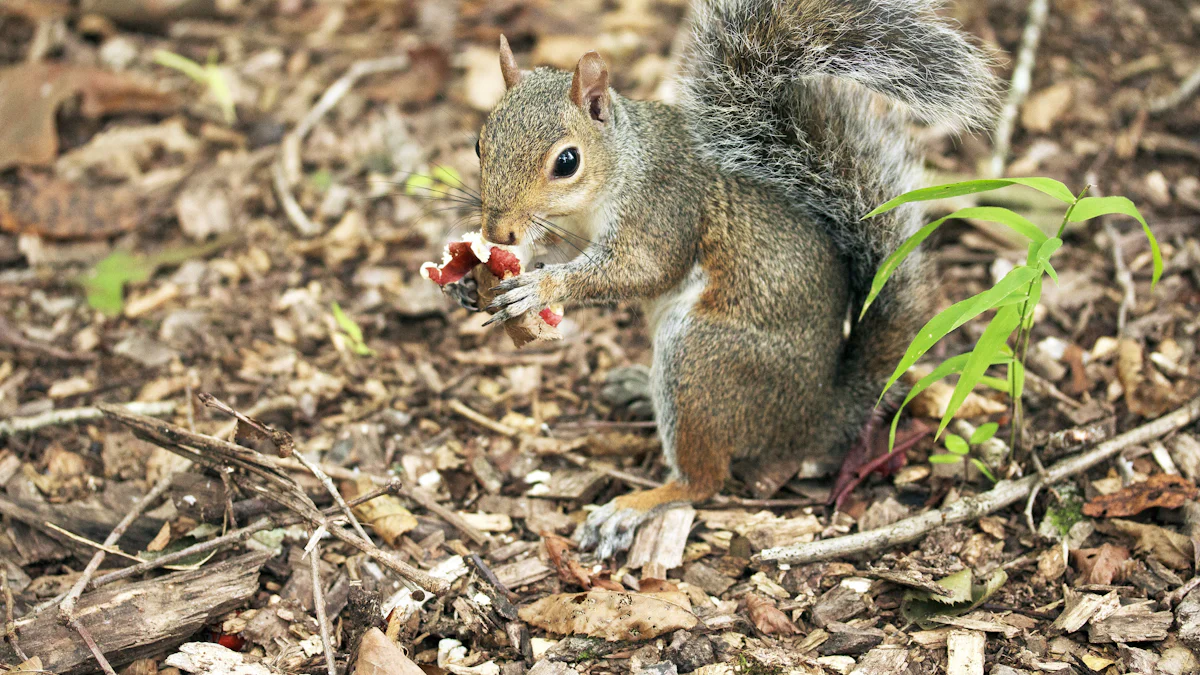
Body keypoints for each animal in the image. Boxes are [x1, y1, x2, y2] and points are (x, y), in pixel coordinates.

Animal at [472, 0, 998, 557]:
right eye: (479, 144)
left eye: (567, 162)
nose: (496, 230)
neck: (620, 168)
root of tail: (815, 415)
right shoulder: (572, 229)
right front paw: (476, 276)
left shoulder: (665, 207)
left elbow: (642, 269)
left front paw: (540, 287)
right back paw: (637, 385)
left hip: (702, 361)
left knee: (703, 481)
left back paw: (632, 507)